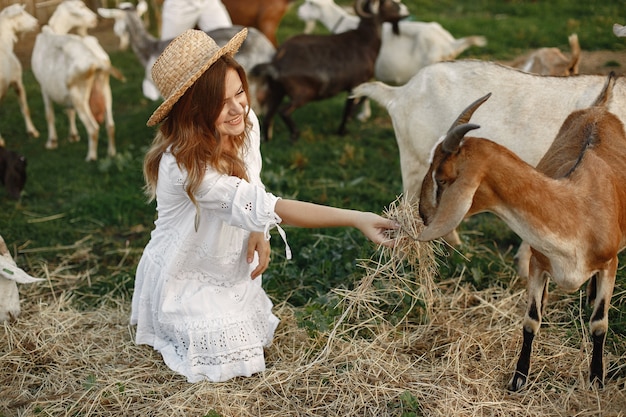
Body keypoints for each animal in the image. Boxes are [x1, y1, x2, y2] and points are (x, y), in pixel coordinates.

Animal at [31, 0, 116, 161]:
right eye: (81, 7)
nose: (95, 18)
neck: (55, 30)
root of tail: (95, 60)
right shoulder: (65, 92)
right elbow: (69, 112)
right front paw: (73, 136)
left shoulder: (44, 87)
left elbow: (49, 115)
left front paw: (51, 142)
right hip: (105, 88)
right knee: (110, 124)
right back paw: (111, 152)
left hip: (80, 96)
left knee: (93, 128)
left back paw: (91, 157)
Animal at [251, 0, 408, 141]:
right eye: (390, 3)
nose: (406, 12)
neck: (364, 40)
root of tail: (278, 61)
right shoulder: (355, 83)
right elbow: (351, 105)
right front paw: (343, 130)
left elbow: (363, 97)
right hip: (303, 92)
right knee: (283, 111)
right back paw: (294, 135)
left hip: (277, 90)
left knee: (269, 115)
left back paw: (267, 139)